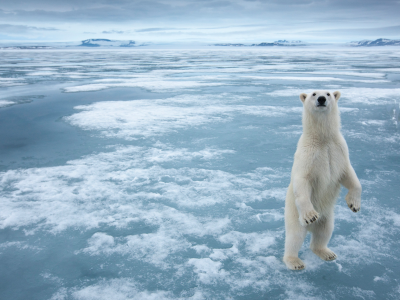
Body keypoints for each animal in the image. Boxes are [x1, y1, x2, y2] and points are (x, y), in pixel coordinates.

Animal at [282, 90, 360, 270]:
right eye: (313, 93)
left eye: (329, 93)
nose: (322, 99)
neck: (323, 139)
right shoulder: (307, 155)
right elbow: (302, 181)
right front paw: (311, 215)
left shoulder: (339, 151)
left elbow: (349, 175)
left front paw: (354, 204)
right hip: (294, 214)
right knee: (295, 236)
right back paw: (294, 261)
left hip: (327, 216)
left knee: (324, 231)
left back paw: (327, 253)